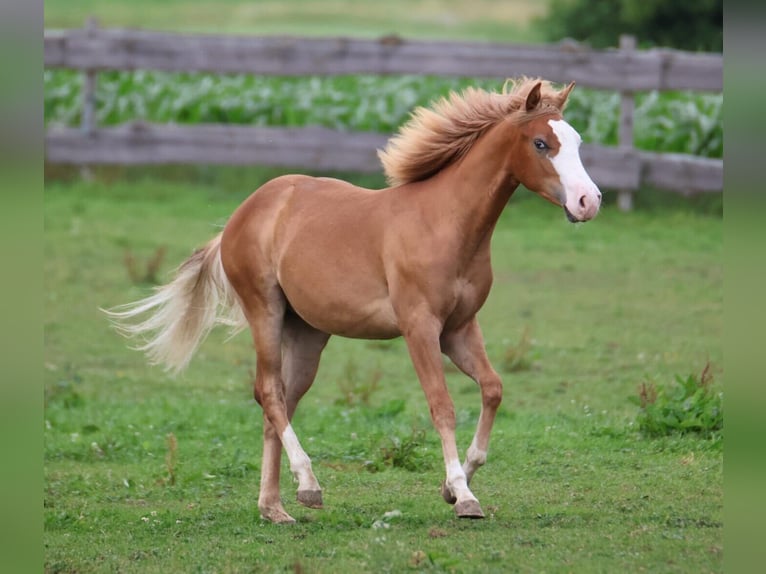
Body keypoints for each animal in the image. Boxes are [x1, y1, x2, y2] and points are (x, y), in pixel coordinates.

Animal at [105, 77, 601, 523]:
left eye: (577, 141)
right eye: (541, 143)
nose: (589, 201)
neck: (446, 223)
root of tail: (243, 213)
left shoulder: (460, 328)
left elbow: (494, 389)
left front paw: (455, 483)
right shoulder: (419, 327)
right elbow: (442, 405)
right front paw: (462, 495)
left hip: (307, 333)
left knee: (278, 402)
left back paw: (275, 507)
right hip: (265, 311)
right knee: (269, 392)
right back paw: (308, 485)